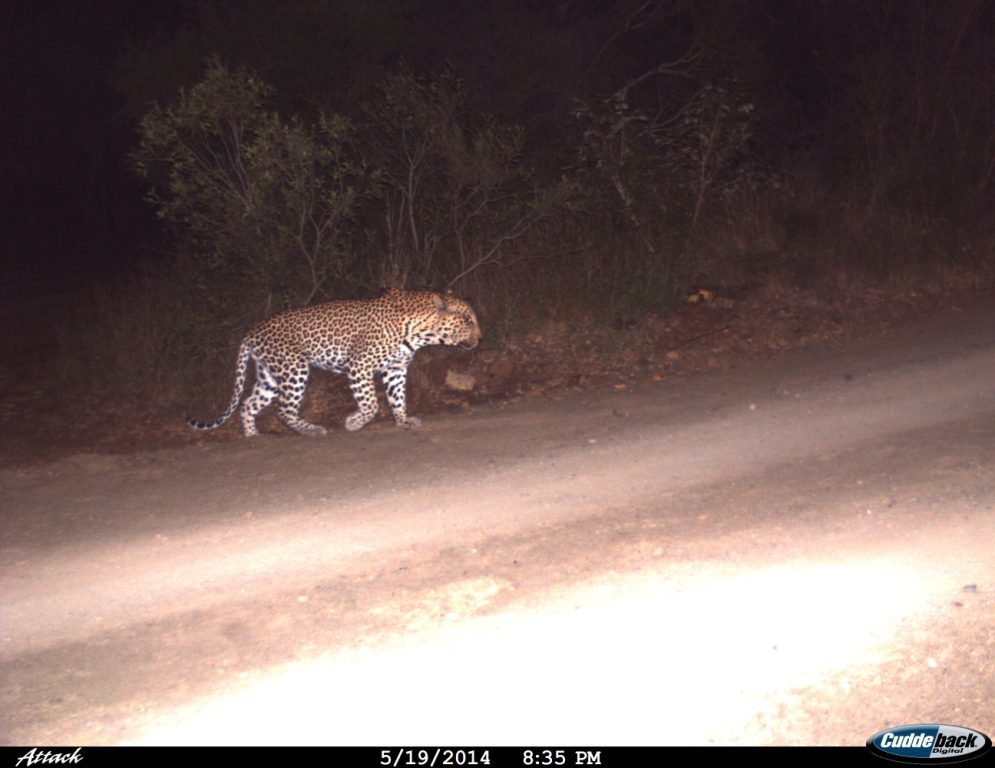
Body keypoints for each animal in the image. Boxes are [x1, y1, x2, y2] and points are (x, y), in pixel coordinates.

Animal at [189, 290, 484, 438]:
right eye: (467, 320)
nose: (481, 338)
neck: (420, 332)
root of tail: (252, 331)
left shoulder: (396, 369)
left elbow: (397, 398)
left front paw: (403, 421)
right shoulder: (359, 366)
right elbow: (371, 404)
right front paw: (353, 422)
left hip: (270, 377)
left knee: (249, 404)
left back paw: (253, 436)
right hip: (294, 368)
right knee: (283, 409)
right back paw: (312, 430)